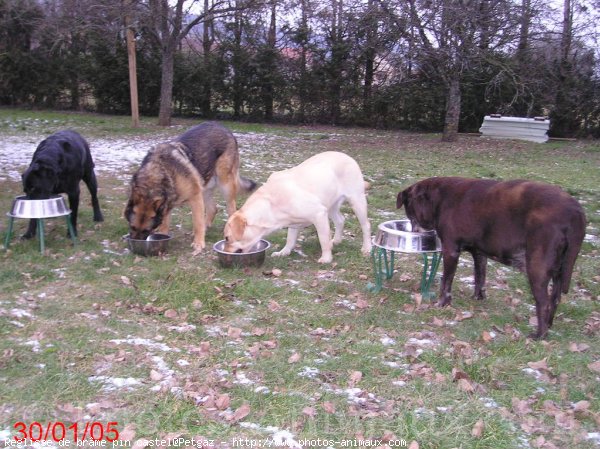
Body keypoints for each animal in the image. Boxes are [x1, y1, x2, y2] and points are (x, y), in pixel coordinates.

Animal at [125, 122, 256, 254]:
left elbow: (197, 223)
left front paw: (198, 244)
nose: (135, 247)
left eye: (147, 230)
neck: (156, 176)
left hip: (225, 184)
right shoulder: (167, 205)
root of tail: (222, 126)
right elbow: (165, 224)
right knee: (213, 208)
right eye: (132, 227)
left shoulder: (195, 197)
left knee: (231, 209)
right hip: (205, 185)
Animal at [398, 177, 584, 338]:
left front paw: (442, 303)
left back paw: (539, 335)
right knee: (555, 299)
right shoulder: (479, 254)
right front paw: (478, 298)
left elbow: (446, 282)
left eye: (411, 215)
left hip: (537, 268)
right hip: (559, 270)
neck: (440, 198)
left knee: (544, 303)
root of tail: (576, 212)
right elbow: (479, 277)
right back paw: (549, 324)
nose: (414, 232)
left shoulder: (450, 250)